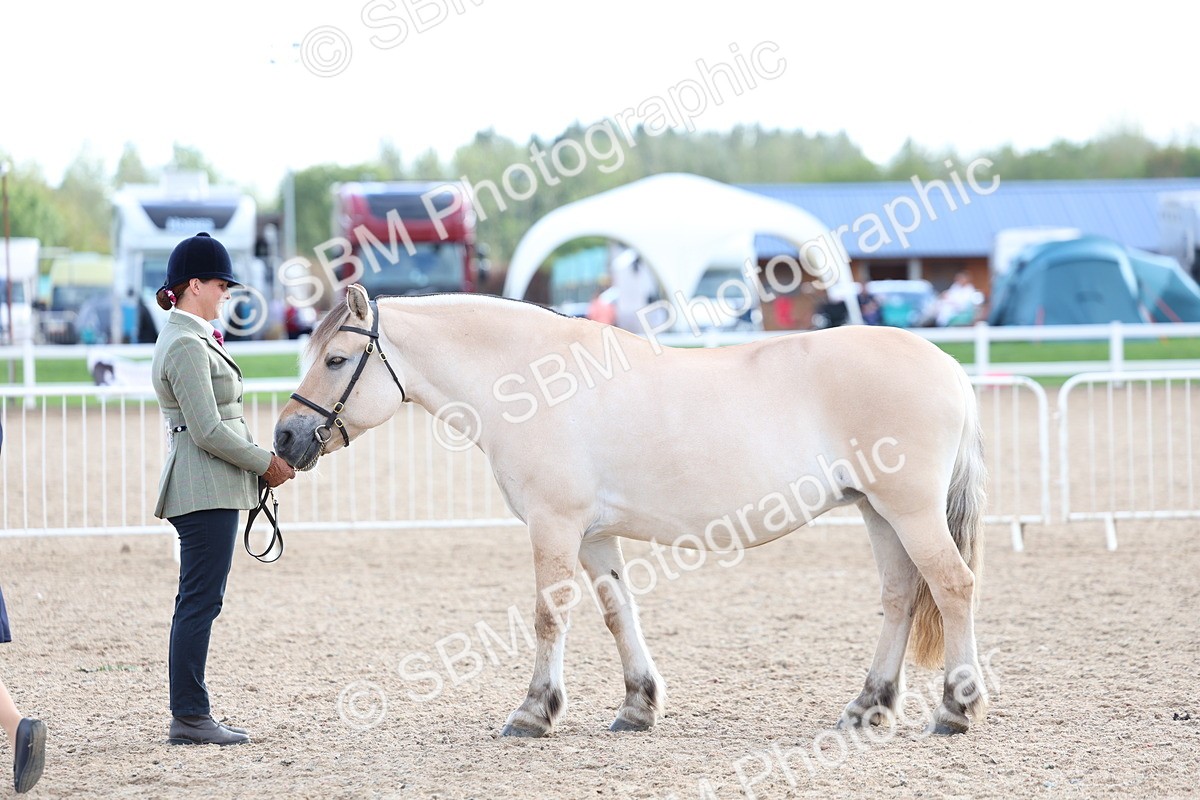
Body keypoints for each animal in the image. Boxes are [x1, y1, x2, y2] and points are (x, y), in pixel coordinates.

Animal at [274, 284, 988, 738]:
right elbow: (619, 612)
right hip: (878, 512)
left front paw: (534, 713)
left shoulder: (554, 525)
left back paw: (955, 710)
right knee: (900, 596)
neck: (532, 381)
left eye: (336, 359)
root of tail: (949, 366)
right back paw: (867, 708)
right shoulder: (592, 536)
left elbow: (549, 615)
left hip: (910, 512)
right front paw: (638, 707)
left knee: (953, 586)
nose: (284, 438)